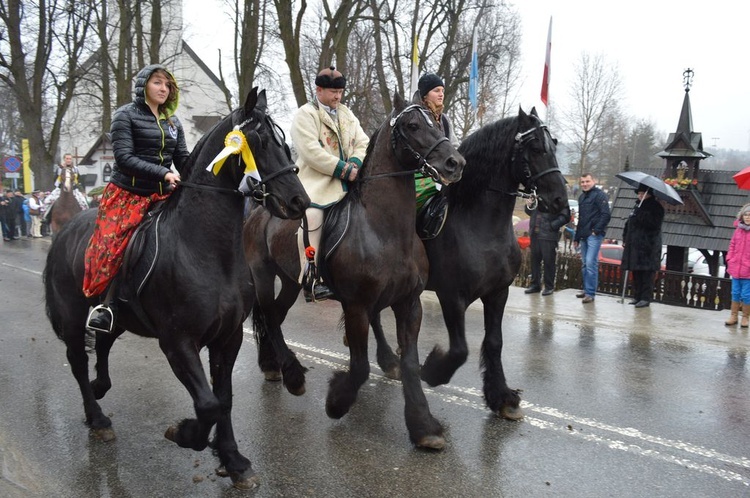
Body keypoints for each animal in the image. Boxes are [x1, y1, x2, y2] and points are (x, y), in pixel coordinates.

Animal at [44, 87, 310, 488]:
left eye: (284, 144)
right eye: (259, 142)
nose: (299, 202)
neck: (204, 249)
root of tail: (64, 229)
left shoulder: (228, 337)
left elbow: (224, 398)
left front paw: (233, 460)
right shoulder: (178, 342)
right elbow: (208, 404)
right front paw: (185, 434)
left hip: (117, 316)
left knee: (103, 344)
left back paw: (100, 388)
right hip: (74, 319)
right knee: (77, 361)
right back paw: (98, 418)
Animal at [245, 91, 464, 450]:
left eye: (436, 122)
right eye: (413, 125)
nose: (454, 163)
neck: (386, 230)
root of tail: (261, 207)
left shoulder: (409, 303)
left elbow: (410, 363)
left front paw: (424, 427)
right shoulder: (357, 306)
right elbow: (359, 367)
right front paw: (337, 401)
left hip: (291, 282)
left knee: (273, 315)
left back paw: (275, 365)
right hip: (262, 274)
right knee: (267, 315)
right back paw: (289, 374)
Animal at [370, 106, 568, 420]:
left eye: (554, 146)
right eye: (536, 147)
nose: (560, 200)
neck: (481, 227)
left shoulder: (498, 293)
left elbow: (494, 342)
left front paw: (501, 396)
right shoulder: (452, 296)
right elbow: (460, 349)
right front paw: (433, 369)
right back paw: (390, 360)